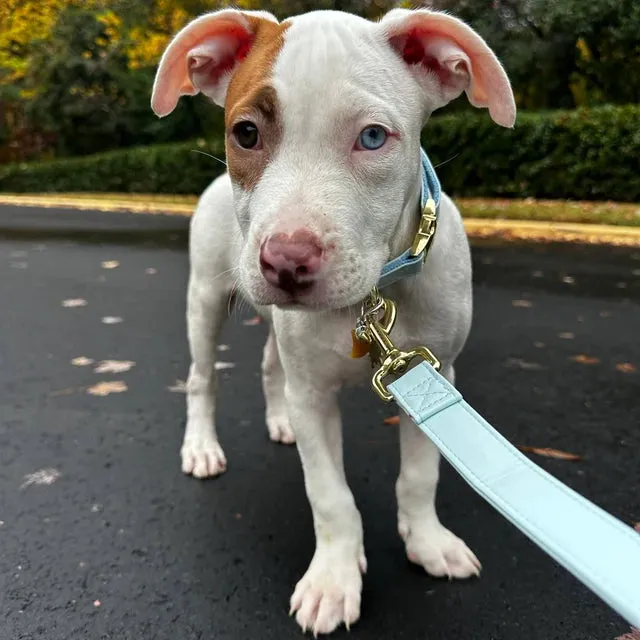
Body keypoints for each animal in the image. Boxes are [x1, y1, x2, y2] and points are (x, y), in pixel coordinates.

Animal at [152, 7, 516, 632]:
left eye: (372, 137)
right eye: (245, 133)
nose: (285, 261)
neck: (371, 301)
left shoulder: (434, 375)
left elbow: (420, 475)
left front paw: (428, 541)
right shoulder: (315, 397)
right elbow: (330, 495)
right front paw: (333, 581)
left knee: (271, 366)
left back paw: (279, 421)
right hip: (204, 298)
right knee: (202, 377)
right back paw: (200, 446)